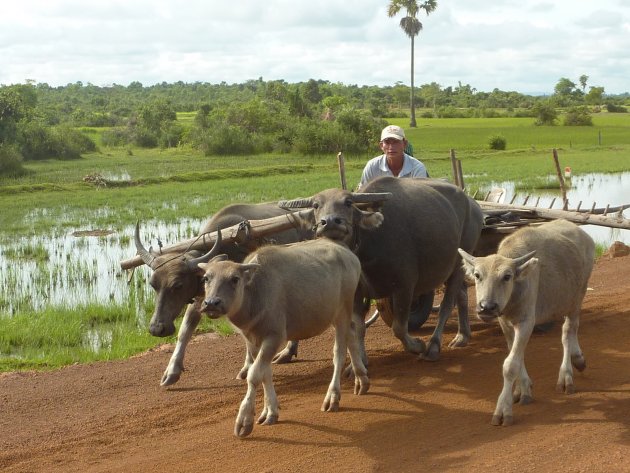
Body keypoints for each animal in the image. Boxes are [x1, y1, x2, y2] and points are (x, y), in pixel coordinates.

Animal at [135, 201, 314, 386]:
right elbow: (184, 331)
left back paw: (287, 352)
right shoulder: (201, 298)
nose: (157, 328)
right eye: (153, 284)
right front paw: (171, 372)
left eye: (177, 285)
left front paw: (247, 367)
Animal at [200, 238, 372, 436]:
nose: (211, 303)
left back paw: (333, 397)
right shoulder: (253, 341)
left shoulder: (274, 336)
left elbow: (254, 374)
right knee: (351, 333)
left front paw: (244, 420)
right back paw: (361, 379)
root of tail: (349, 254)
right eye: (206, 278)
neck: (256, 295)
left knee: (339, 353)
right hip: (336, 314)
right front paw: (270, 411)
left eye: (234, 279)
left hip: (343, 309)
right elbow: (265, 373)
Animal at [280, 177, 484, 362]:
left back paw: (433, 346)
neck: (364, 252)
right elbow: (359, 328)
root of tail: (472, 204)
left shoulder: (405, 286)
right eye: (316, 205)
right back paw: (462, 335)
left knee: (447, 304)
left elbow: (399, 328)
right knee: (462, 295)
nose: (329, 222)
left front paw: (417, 345)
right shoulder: (356, 293)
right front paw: (358, 363)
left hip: (459, 262)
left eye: (348, 202)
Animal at [462, 219, 596, 426]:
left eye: (507, 276)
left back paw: (566, 375)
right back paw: (578, 359)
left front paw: (503, 410)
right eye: (477, 275)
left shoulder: (526, 322)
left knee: (568, 332)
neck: (514, 293)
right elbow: (516, 355)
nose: (486, 307)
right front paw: (522, 389)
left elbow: (510, 365)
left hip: (576, 300)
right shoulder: (505, 323)